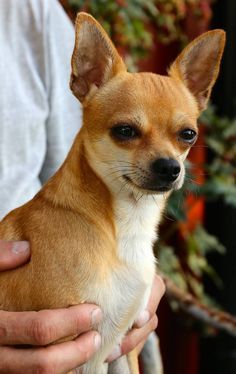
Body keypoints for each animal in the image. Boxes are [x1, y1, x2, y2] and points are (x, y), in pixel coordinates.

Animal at [0, 12, 225, 374]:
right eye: (125, 131)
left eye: (188, 134)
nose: (170, 167)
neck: (124, 225)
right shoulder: (63, 349)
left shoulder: (122, 345)